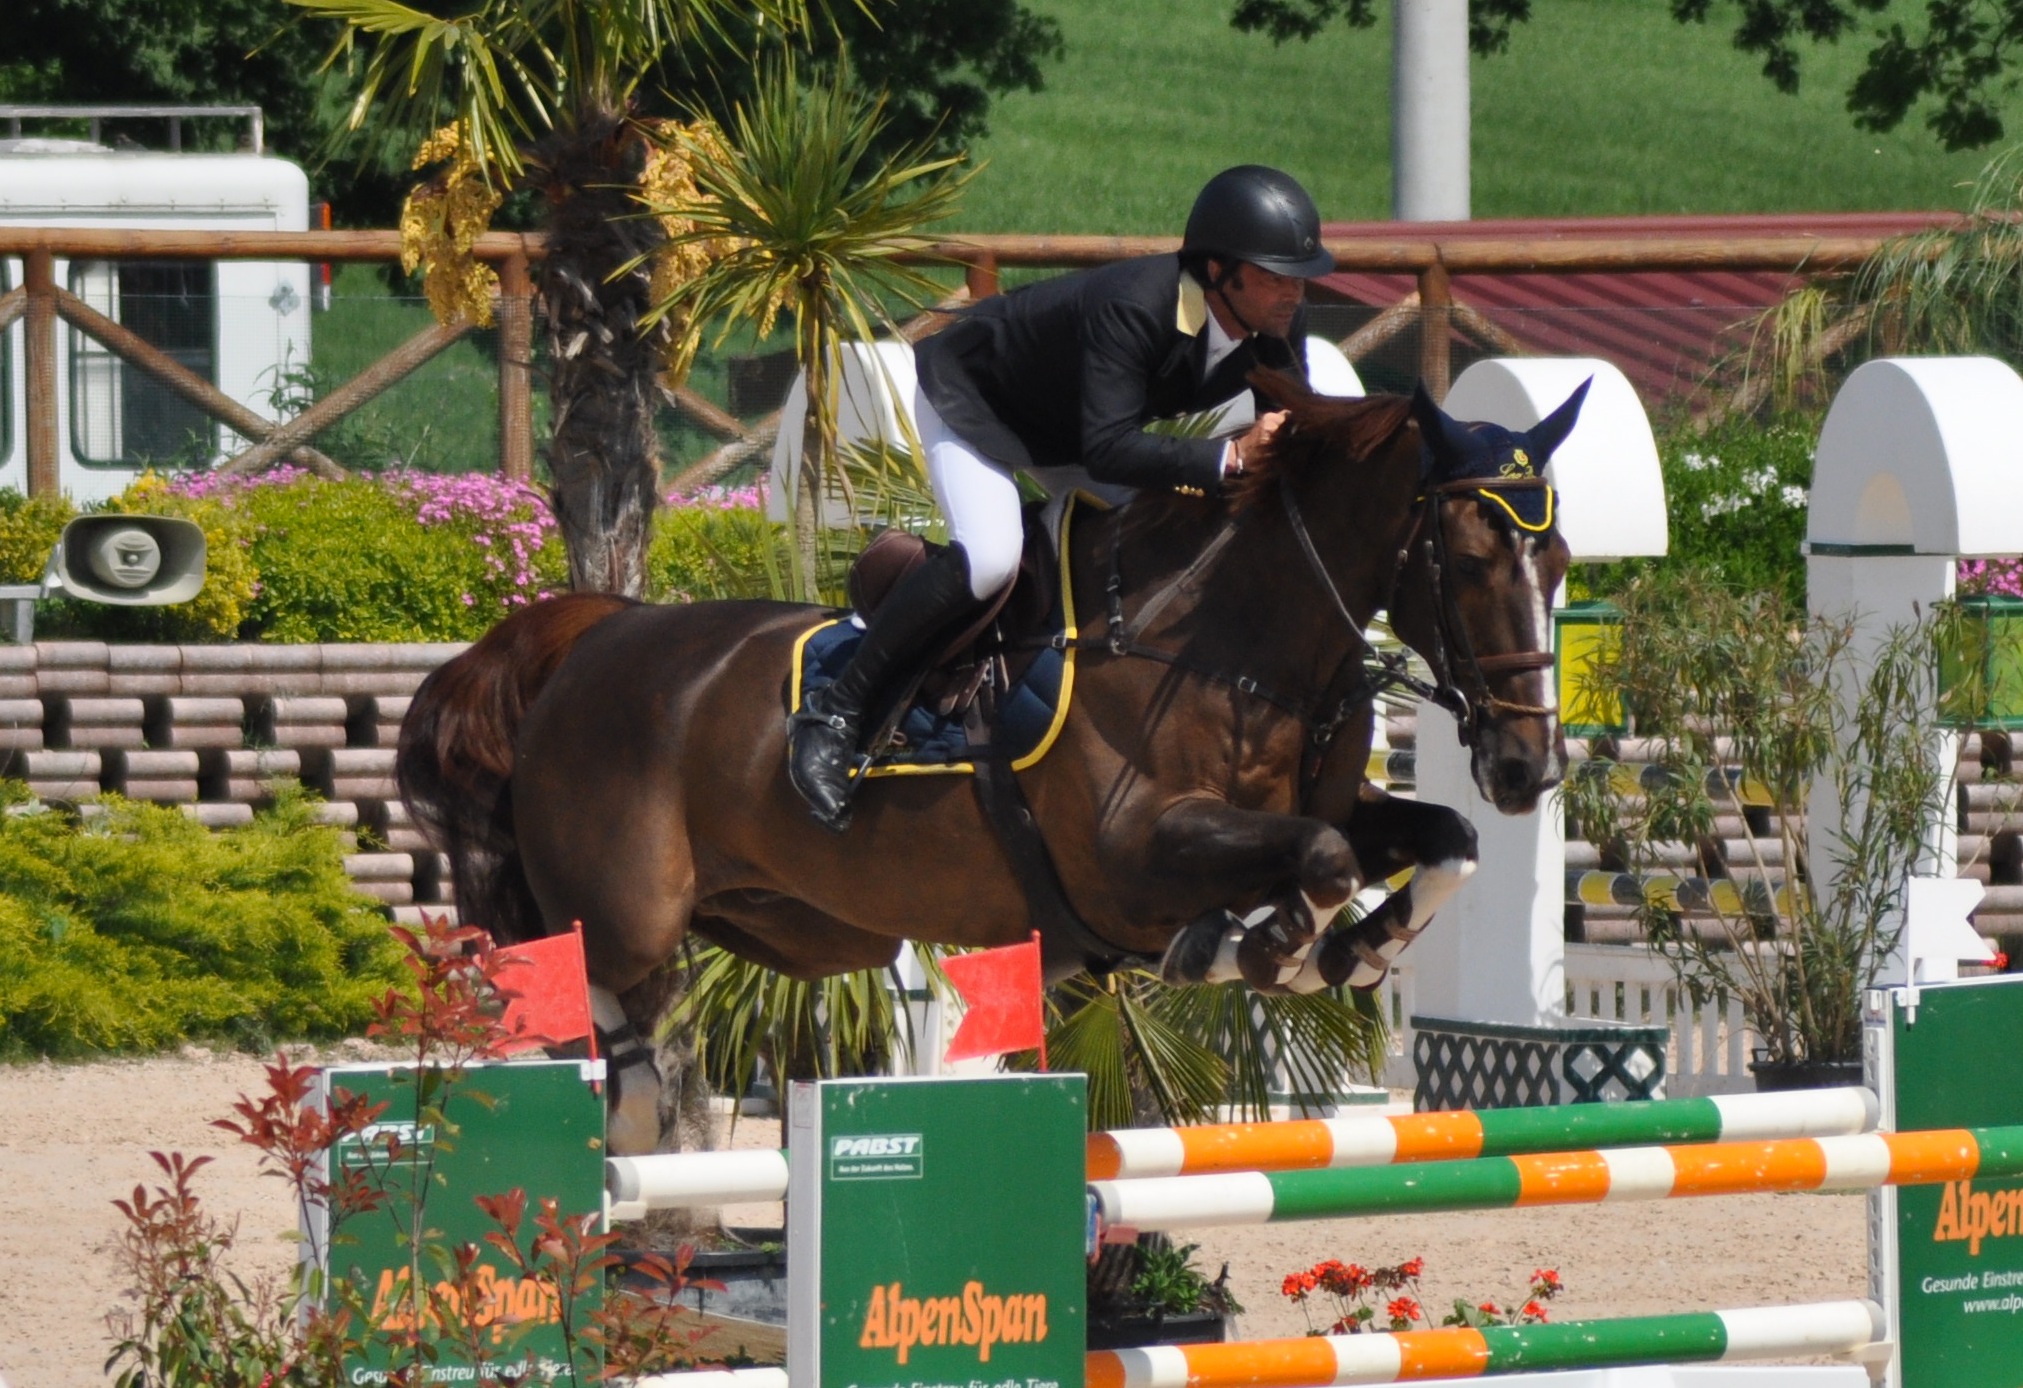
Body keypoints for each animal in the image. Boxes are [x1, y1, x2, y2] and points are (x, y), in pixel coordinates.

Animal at [402, 372, 1586, 1149]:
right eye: (1468, 557)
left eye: (1563, 558)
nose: (1528, 766)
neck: (1233, 644)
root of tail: (591, 634)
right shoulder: (1132, 852)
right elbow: (1323, 861)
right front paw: (1268, 947)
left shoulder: (1326, 808)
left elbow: (1437, 838)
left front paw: (1361, 946)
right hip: (629, 908)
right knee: (579, 990)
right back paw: (636, 1104)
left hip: (803, 925)